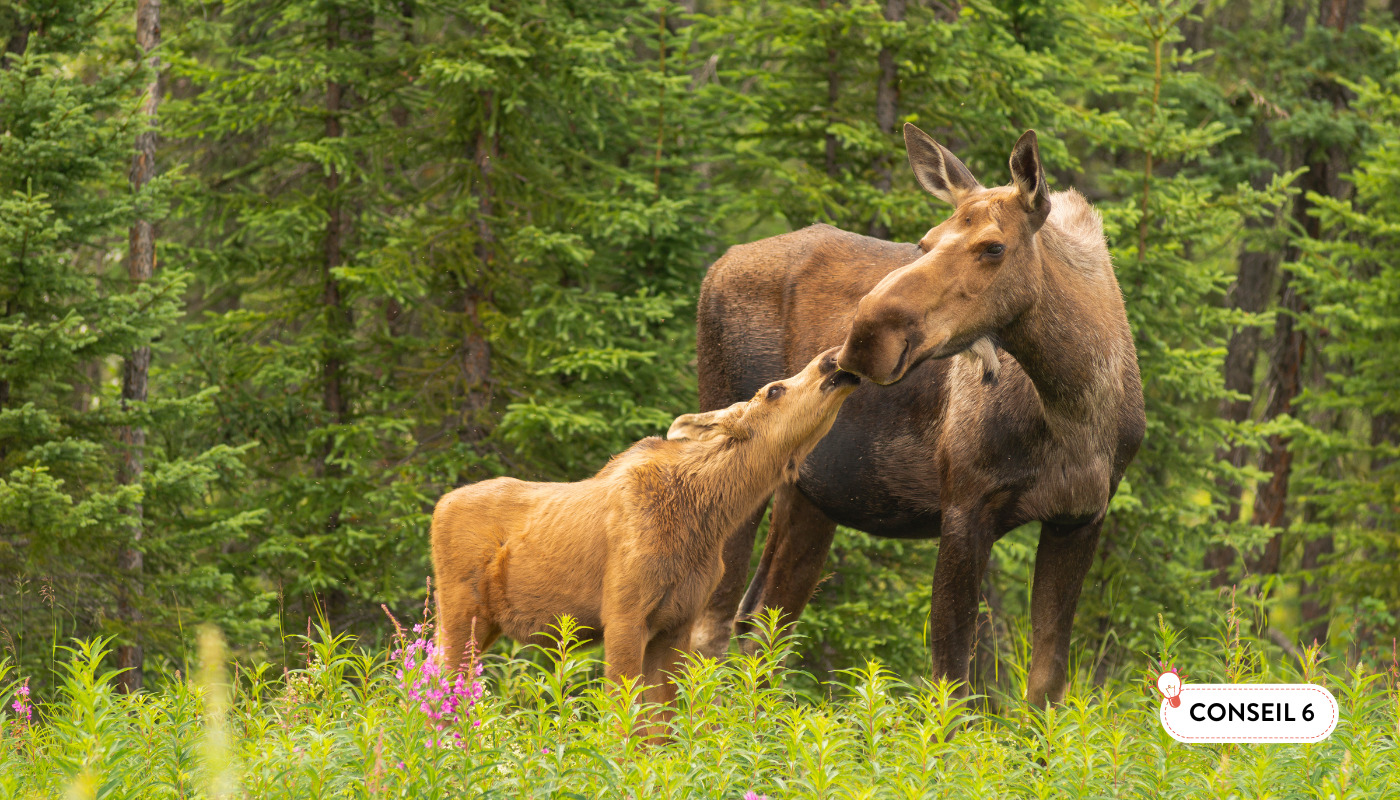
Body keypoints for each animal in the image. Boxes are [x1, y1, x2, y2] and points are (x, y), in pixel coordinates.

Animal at [431, 347, 856, 722]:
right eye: (774, 389)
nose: (831, 358)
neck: (706, 517)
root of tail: (438, 507)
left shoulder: (677, 622)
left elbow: (662, 726)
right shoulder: (623, 614)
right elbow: (623, 715)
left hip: (483, 623)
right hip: (461, 609)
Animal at [694, 125, 1142, 706]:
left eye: (993, 246)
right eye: (925, 242)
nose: (863, 338)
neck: (1077, 408)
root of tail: (716, 267)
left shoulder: (1081, 516)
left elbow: (1044, 686)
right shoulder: (966, 506)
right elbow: (952, 683)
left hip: (810, 495)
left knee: (761, 626)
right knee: (710, 625)